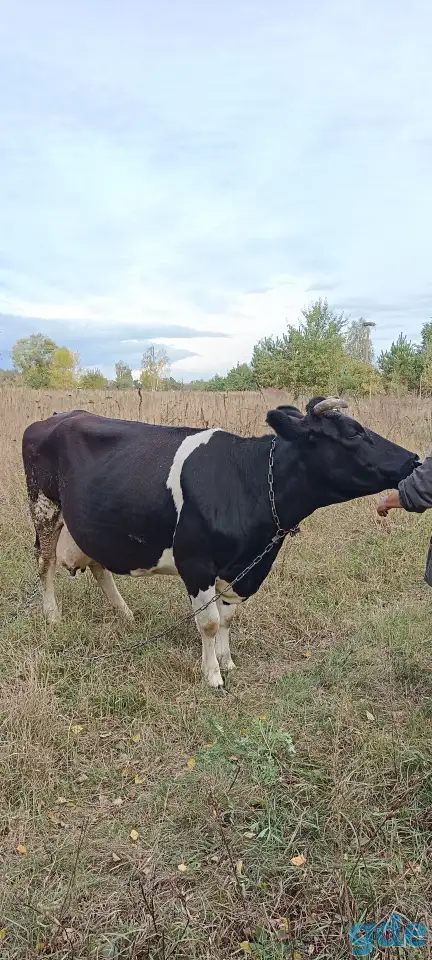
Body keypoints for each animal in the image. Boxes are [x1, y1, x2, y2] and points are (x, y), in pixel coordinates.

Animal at [22, 397, 419, 688]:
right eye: (353, 432)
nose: (415, 459)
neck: (248, 481)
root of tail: (56, 417)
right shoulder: (196, 563)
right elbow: (209, 622)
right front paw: (211, 674)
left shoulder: (246, 566)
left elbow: (228, 616)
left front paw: (226, 661)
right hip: (44, 507)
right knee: (44, 564)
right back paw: (53, 615)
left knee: (98, 564)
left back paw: (125, 613)